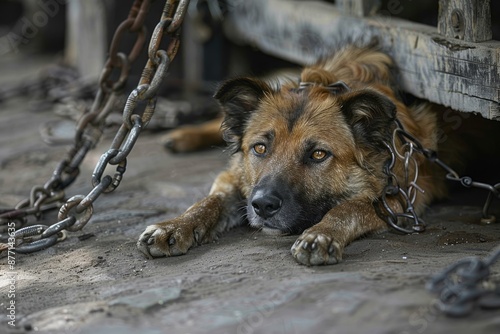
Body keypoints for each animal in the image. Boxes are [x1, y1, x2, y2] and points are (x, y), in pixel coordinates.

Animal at [138, 46, 454, 266]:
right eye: (260, 148)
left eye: (318, 154)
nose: (263, 206)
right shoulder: (236, 176)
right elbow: (208, 201)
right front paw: (174, 226)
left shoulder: (402, 197)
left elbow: (349, 207)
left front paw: (321, 234)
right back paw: (176, 130)